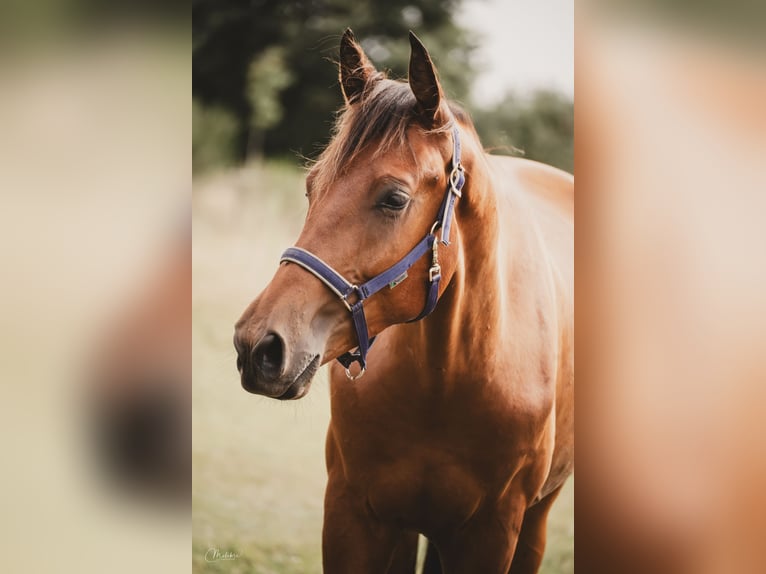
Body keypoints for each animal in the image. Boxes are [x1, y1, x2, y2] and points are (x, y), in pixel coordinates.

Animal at [234, 29, 573, 574]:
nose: (257, 346)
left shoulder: (492, 534)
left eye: (394, 198)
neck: (447, 375)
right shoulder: (354, 516)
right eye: (310, 188)